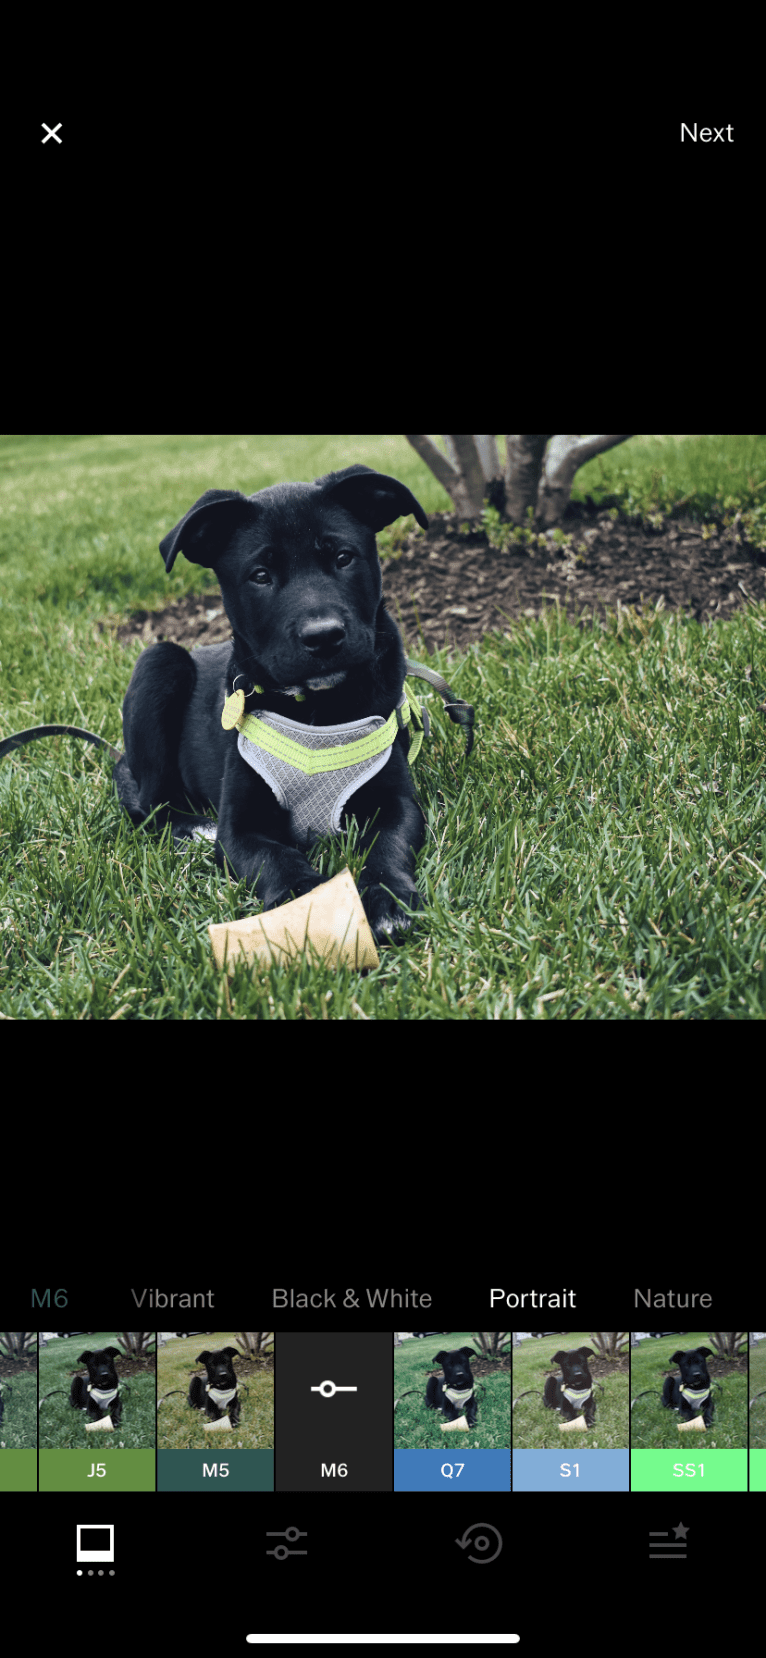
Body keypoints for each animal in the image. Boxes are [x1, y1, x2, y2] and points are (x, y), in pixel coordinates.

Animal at [116, 467, 434, 941]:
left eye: (343, 557)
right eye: (261, 575)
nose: (324, 637)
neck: (316, 711)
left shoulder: (397, 802)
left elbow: (387, 845)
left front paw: (385, 899)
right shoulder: (240, 827)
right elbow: (277, 859)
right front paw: (307, 905)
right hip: (160, 659)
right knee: (151, 805)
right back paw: (195, 829)